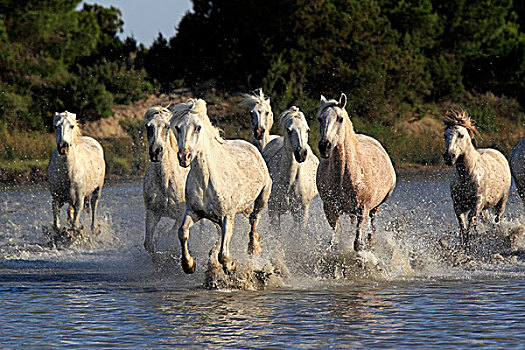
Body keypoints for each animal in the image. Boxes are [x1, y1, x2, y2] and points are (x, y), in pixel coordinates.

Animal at [142, 106, 189, 258]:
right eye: (148, 126)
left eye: (167, 126)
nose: (155, 152)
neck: (165, 183)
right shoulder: (152, 212)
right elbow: (149, 244)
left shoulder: (180, 216)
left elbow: (172, 235)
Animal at [170, 98, 272, 274]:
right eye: (178, 127)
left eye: (198, 127)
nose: (184, 157)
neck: (206, 181)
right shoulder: (194, 212)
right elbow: (182, 232)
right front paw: (188, 265)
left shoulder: (227, 216)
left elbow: (223, 254)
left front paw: (231, 265)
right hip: (217, 218)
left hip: (262, 196)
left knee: (254, 219)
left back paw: (253, 248)